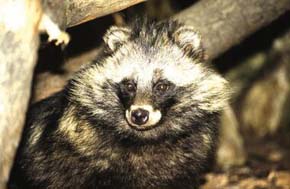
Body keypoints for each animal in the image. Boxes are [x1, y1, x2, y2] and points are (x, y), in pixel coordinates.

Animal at [9, 19, 229, 189]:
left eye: (162, 86)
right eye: (129, 85)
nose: (139, 115)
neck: (144, 138)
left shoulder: (185, 161)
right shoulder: (76, 154)